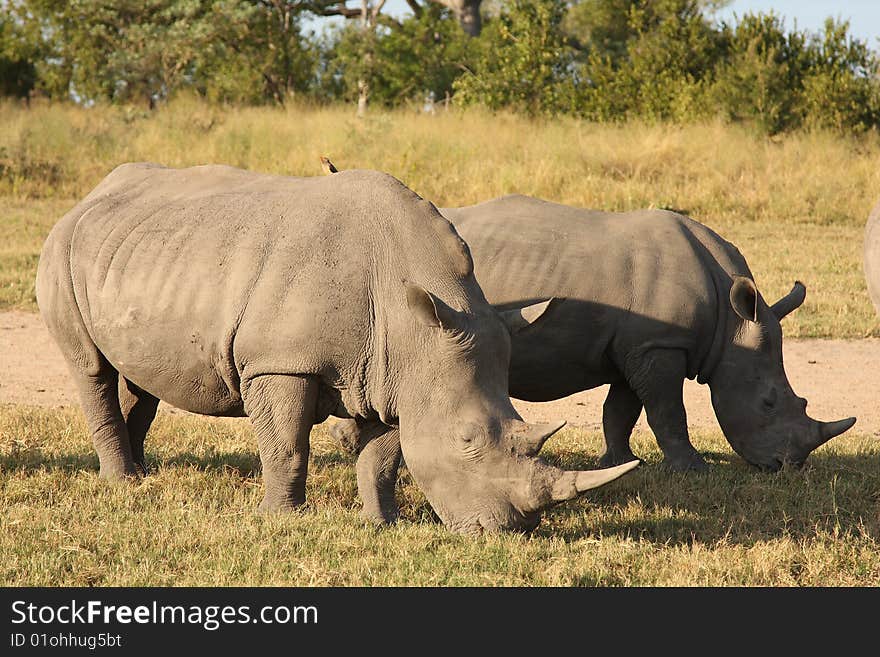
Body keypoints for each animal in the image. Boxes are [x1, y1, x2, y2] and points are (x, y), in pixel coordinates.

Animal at [36, 163, 640, 532]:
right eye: (466, 441)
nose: (507, 530)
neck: (414, 322)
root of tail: (91, 195)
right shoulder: (281, 364)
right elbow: (287, 446)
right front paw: (282, 521)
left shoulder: (395, 375)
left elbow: (383, 458)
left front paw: (382, 523)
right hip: (61, 248)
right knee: (90, 368)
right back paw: (121, 483)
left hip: (139, 254)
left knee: (141, 379)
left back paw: (142, 475)